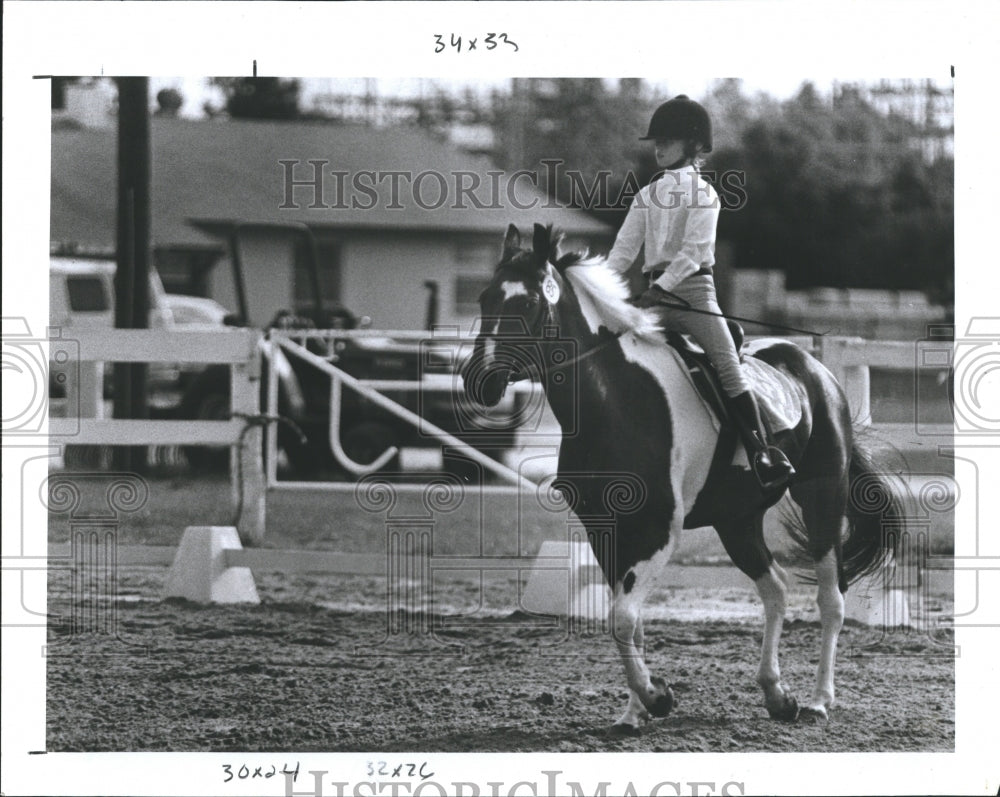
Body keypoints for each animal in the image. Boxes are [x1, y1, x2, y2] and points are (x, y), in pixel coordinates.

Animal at [464, 224, 904, 732]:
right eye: (484, 298)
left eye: (529, 302)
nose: (480, 383)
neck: (614, 400)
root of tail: (817, 372)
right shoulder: (604, 529)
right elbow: (628, 621)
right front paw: (634, 712)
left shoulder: (658, 531)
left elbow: (621, 616)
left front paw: (656, 699)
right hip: (736, 520)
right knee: (775, 588)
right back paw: (777, 694)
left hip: (822, 496)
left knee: (831, 599)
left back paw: (816, 701)